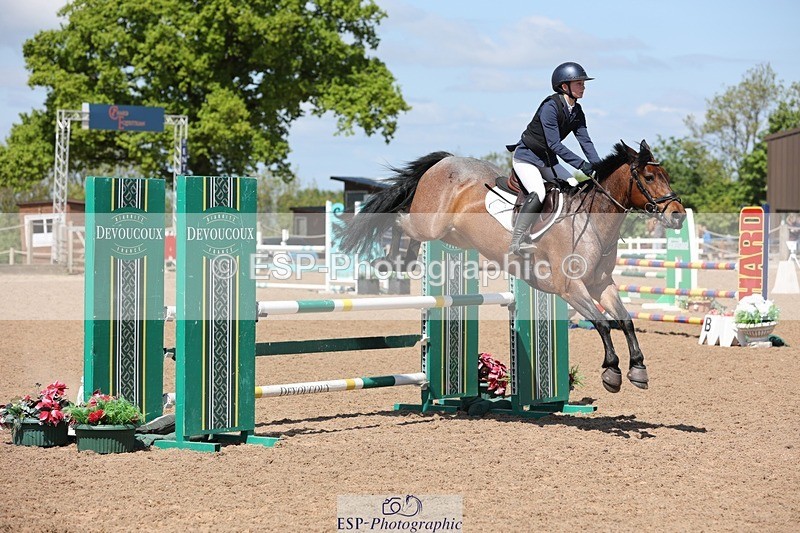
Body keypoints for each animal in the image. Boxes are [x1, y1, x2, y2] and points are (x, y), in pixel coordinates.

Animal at [338, 140, 686, 393]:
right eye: (650, 177)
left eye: (667, 176)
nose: (678, 215)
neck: (590, 221)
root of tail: (444, 161)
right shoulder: (571, 288)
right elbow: (602, 323)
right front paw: (611, 373)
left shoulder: (602, 285)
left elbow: (625, 320)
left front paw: (638, 369)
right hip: (430, 224)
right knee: (399, 219)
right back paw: (390, 261)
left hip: (452, 234)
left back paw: (404, 260)